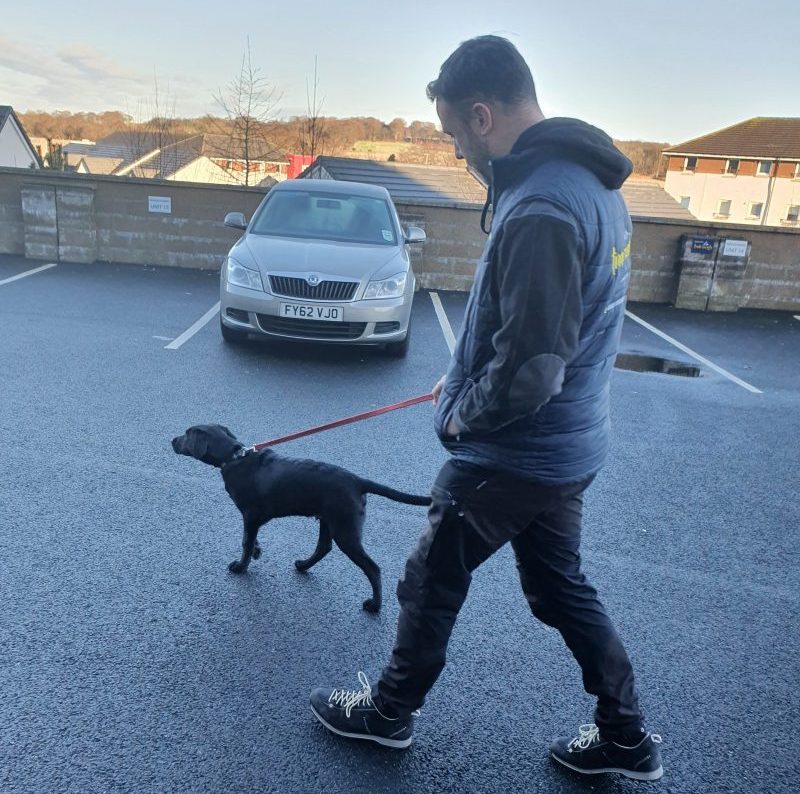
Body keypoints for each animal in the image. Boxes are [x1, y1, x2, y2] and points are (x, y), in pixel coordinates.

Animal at [170, 424, 432, 608]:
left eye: (186, 434)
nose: (171, 440)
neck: (235, 456)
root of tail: (357, 481)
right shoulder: (253, 519)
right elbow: (251, 539)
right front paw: (257, 551)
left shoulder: (251, 515)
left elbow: (245, 541)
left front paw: (241, 566)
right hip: (328, 520)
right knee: (324, 547)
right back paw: (303, 565)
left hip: (345, 528)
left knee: (372, 567)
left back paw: (374, 605)